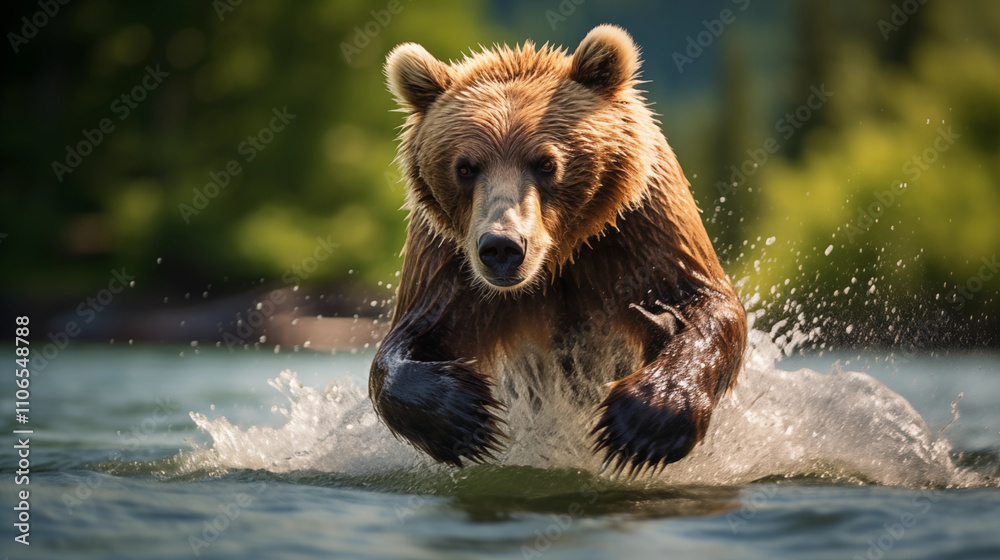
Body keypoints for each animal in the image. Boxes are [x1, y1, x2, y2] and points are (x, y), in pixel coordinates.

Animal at [369, 24, 747, 475]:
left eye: (546, 162)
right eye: (465, 167)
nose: (502, 246)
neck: (558, 261)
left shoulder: (642, 228)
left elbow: (706, 304)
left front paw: (643, 421)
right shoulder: (447, 259)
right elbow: (408, 339)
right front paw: (466, 417)